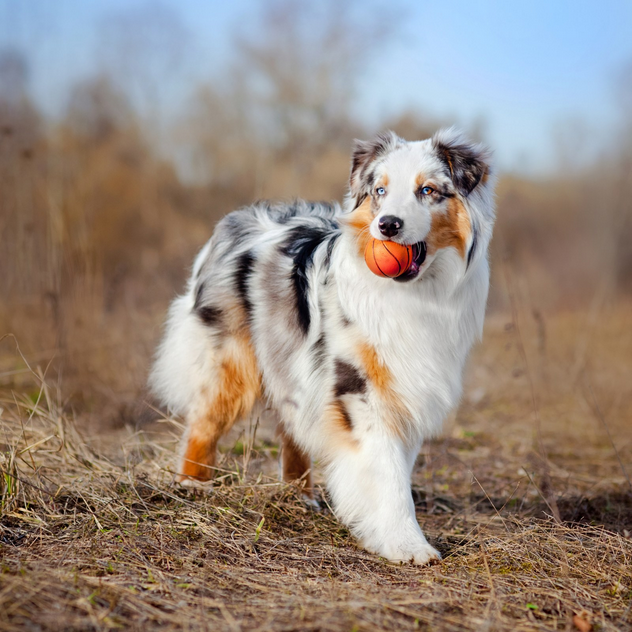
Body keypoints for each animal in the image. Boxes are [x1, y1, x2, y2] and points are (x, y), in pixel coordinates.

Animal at [148, 128, 494, 564]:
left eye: (428, 190)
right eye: (380, 191)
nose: (387, 225)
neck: (414, 294)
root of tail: (236, 220)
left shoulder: (406, 387)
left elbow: (396, 466)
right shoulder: (359, 389)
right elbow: (388, 473)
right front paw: (407, 544)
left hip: (292, 364)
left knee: (291, 426)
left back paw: (300, 496)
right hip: (232, 361)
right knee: (204, 422)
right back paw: (192, 485)